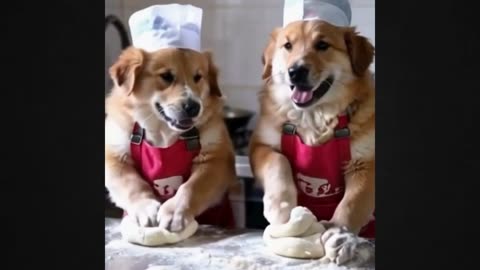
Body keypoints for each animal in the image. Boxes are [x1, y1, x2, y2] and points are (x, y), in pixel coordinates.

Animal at [107, 47, 238, 232]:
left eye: (198, 77)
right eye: (166, 76)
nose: (193, 107)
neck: (163, 132)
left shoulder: (216, 159)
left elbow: (191, 187)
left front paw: (175, 211)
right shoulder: (115, 156)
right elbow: (132, 184)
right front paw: (145, 207)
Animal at [249, 20, 376, 237]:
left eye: (322, 45)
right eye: (288, 45)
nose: (295, 71)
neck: (313, 118)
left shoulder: (366, 162)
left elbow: (353, 202)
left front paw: (337, 229)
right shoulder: (260, 146)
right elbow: (278, 161)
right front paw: (280, 205)